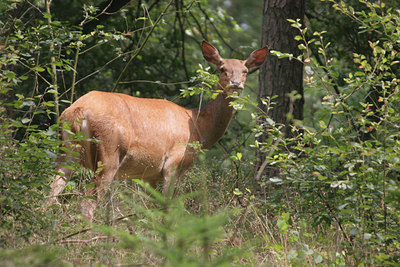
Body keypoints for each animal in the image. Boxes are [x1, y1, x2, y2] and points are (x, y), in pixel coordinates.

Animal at [47, 40, 268, 221]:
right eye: (222, 69)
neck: (199, 128)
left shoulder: (149, 175)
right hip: (108, 152)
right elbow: (167, 210)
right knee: (86, 204)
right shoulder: (174, 163)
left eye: (245, 70)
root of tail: (78, 110)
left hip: (67, 152)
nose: (236, 84)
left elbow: (150, 211)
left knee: (49, 193)